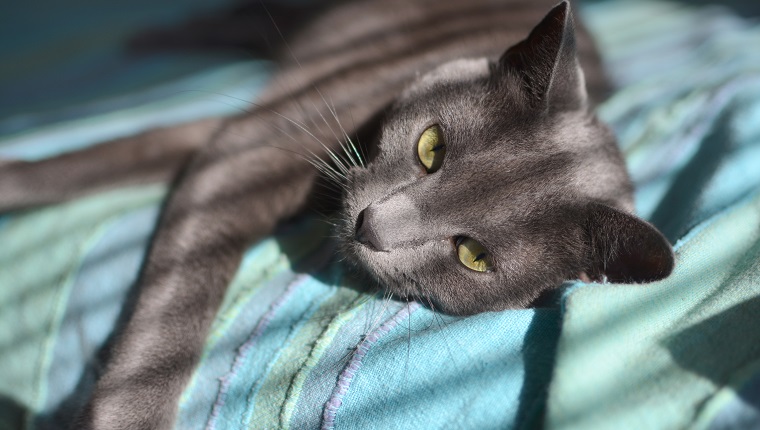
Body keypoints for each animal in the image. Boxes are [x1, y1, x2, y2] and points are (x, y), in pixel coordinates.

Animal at [0, 1, 672, 428]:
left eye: (473, 256)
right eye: (432, 147)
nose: (371, 224)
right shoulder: (245, 147)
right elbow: (172, 298)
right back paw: (160, 36)